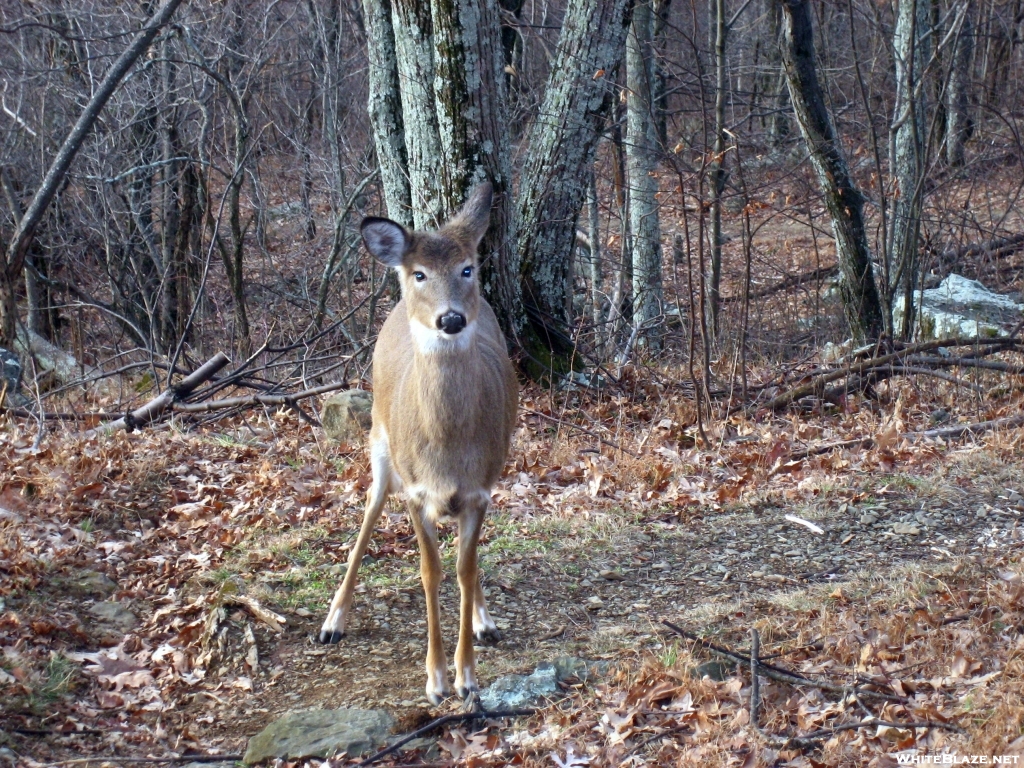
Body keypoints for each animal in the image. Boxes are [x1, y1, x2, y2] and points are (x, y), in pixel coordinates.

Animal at [317, 183, 520, 708]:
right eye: (420, 273)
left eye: (468, 267)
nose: (450, 319)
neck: (446, 451)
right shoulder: (414, 491)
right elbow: (430, 573)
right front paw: (435, 679)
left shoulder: (480, 490)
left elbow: (464, 569)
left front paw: (466, 675)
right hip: (379, 443)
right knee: (369, 510)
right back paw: (332, 621)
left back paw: (485, 621)